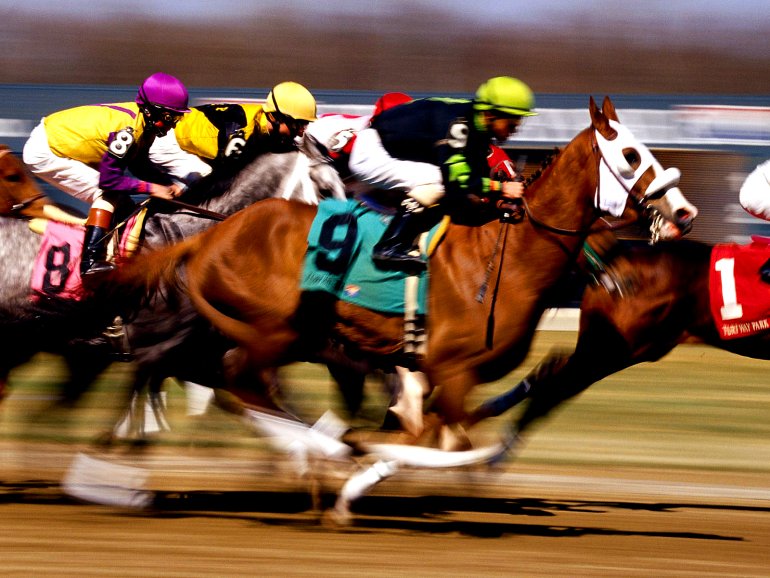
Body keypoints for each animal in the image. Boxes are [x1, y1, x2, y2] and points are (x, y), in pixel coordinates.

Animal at [106, 97, 696, 450]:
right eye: (629, 154)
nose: (684, 214)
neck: (505, 257)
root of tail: (211, 233)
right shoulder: (448, 369)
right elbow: (439, 433)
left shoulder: (425, 373)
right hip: (269, 331)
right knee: (235, 383)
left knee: (236, 386)